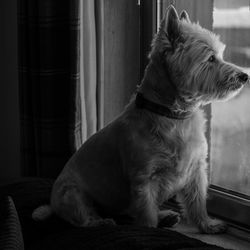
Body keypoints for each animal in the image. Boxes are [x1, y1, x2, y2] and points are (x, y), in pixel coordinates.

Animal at [32, 4, 248, 233]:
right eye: (210, 58)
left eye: (219, 55)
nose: (245, 76)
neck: (175, 116)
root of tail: (52, 203)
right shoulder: (144, 181)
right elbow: (147, 216)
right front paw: (151, 230)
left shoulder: (196, 170)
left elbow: (198, 202)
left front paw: (208, 225)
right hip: (72, 193)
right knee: (84, 217)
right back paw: (101, 222)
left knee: (128, 213)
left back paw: (165, 217)